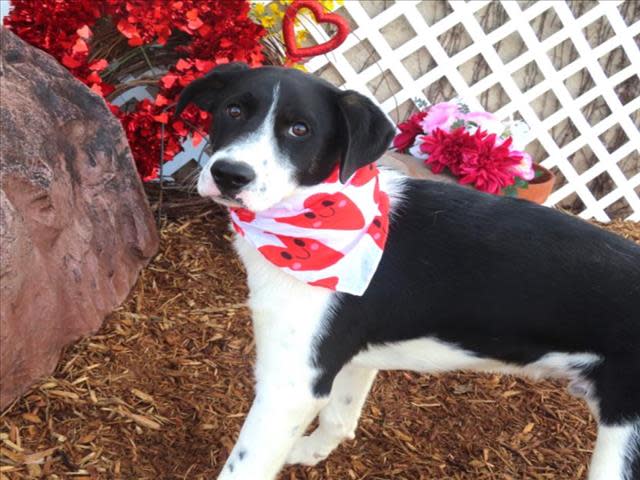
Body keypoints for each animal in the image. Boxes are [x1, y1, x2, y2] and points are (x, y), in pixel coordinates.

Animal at [175, 63, 640, 480]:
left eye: (300, 130)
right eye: (234, 110)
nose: (230, 174)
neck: (316, 219)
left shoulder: (291, 385)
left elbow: (244, 465)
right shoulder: (353, 358)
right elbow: (340, 420)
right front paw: (307, 452)